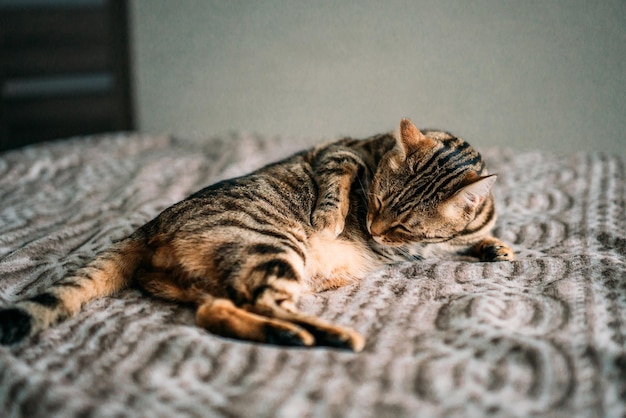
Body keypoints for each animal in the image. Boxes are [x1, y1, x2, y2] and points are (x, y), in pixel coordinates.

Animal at [0, 118, 512, 352]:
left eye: (403, 225)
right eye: (379, 203)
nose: (372, 230)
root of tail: (151, 225)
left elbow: (475, 241)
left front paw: (497, 248)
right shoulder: (339, 151)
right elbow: (336, 183)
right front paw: (331, 218)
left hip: (217, 280)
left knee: (216, 312)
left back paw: (289, 335)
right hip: (272, 248)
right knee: (262, 301)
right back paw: (331, 335)